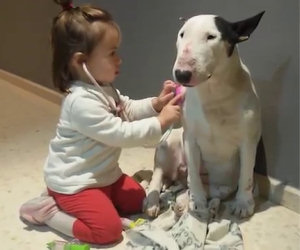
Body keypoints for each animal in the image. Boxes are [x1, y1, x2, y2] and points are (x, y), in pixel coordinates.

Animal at [145, 11, 264, 218]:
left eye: (211, 36)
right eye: (182, 34)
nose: (181, 74)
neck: (213, 91)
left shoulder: (248, 141)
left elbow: (246, 175)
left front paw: (243, 203)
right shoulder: (190, 139)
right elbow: (193, 173)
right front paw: (198, 201)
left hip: (222, 182)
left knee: (205, 188)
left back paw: (182, 199)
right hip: (168, 143)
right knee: (159, 174)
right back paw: (153, 200)